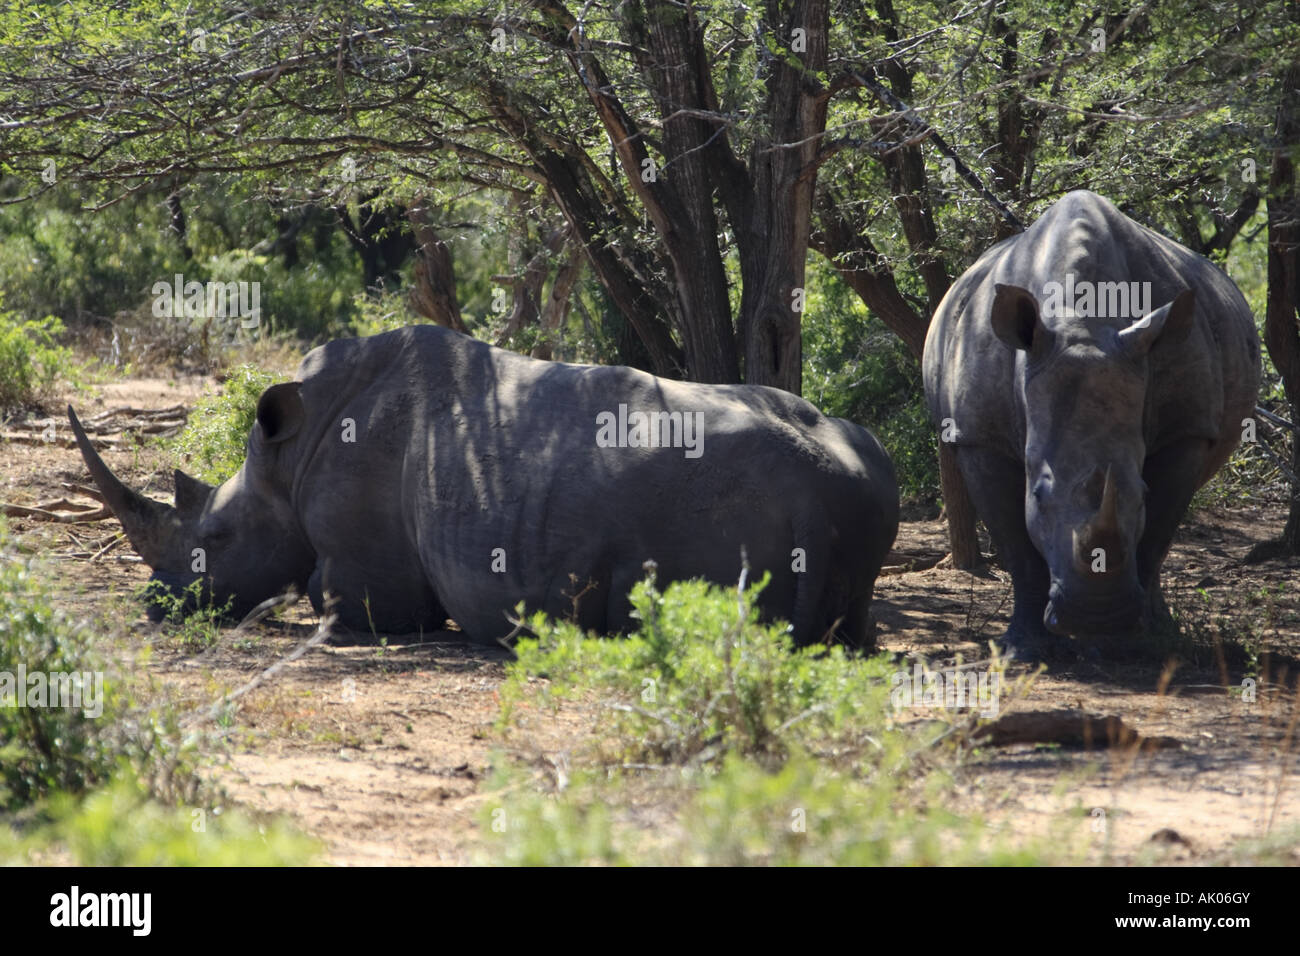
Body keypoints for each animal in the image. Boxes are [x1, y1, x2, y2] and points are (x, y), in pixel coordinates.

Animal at [71, 327, 899, 650]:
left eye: (212, 541)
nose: (156, 604)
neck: (287, 460)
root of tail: (838, 492)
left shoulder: (366, 573)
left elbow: (322, 590)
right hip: (860, 464)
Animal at [920, 191, 1263, 660]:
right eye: (1039, 495)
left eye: (1141, 493)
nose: (1097, 617)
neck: (1082, 323)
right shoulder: (978, 435)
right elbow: (1016, 547)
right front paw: (1021, 649)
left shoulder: (1188, 427)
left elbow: (1157, 536)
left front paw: (1144, 642)